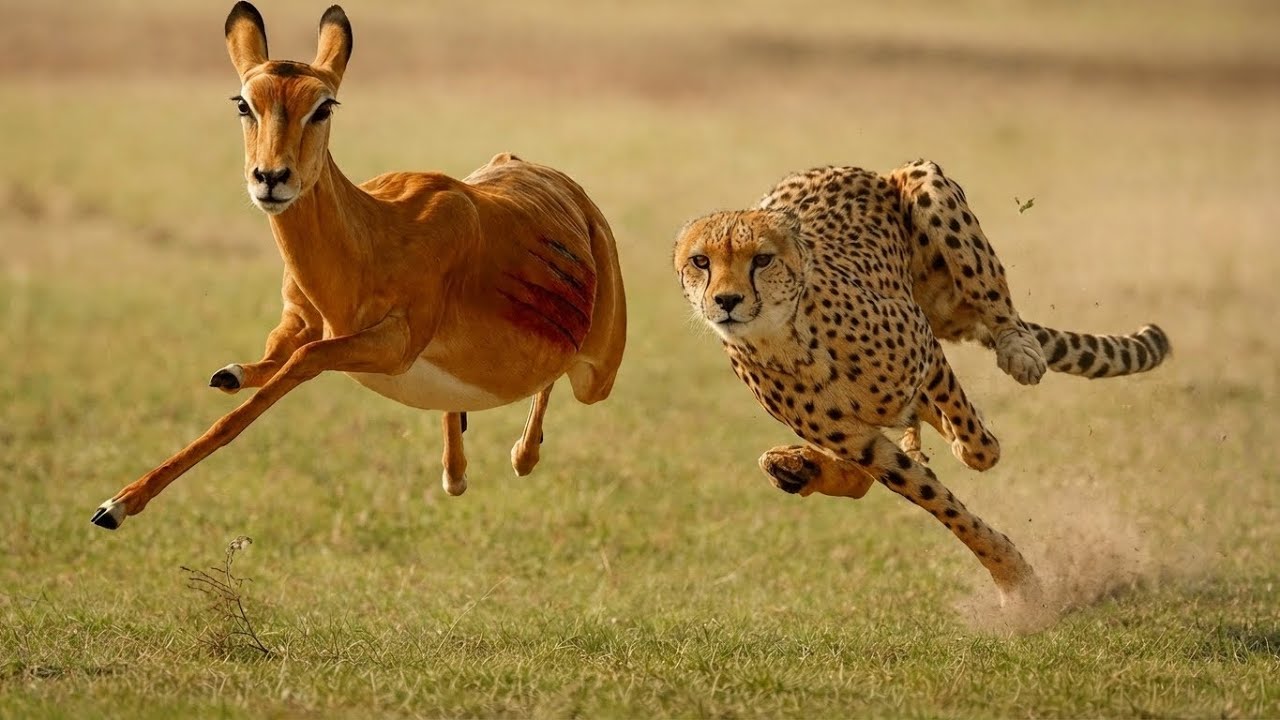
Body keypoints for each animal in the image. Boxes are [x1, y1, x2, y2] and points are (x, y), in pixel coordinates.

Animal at [91, 2, 627, 529]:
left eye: (323, 106)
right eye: (244, 103)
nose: (271, 178)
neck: (373, 240)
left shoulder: (392, 345)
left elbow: (289, 372)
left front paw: (115, 506)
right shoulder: (299, 317)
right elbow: (268, 364)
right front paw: (229, 374)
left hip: (595, 381)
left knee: (554, 381)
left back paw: (520, 456)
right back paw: (456, 472)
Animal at [672, 160, 1170, 603]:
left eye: (762, 260)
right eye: (701, 261)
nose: (727, 300)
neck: (784, 338)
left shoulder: (923, 348)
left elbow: (978, 445)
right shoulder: (863, 444)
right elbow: (936, 499)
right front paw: (1014, 579)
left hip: (927, 184)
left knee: (995, 302)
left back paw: (1018, 350)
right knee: (864, 471)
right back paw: (795, 467)